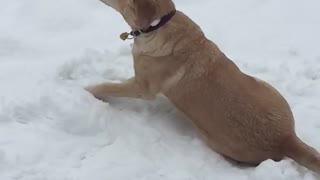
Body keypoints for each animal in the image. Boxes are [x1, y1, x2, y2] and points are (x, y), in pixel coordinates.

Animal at [85, 0, 320, 174]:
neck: (158, 24)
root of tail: (286, 139)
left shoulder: (143, 88)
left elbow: (107, 87)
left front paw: (87, 90)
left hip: (215, 142)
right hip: (267, 87)